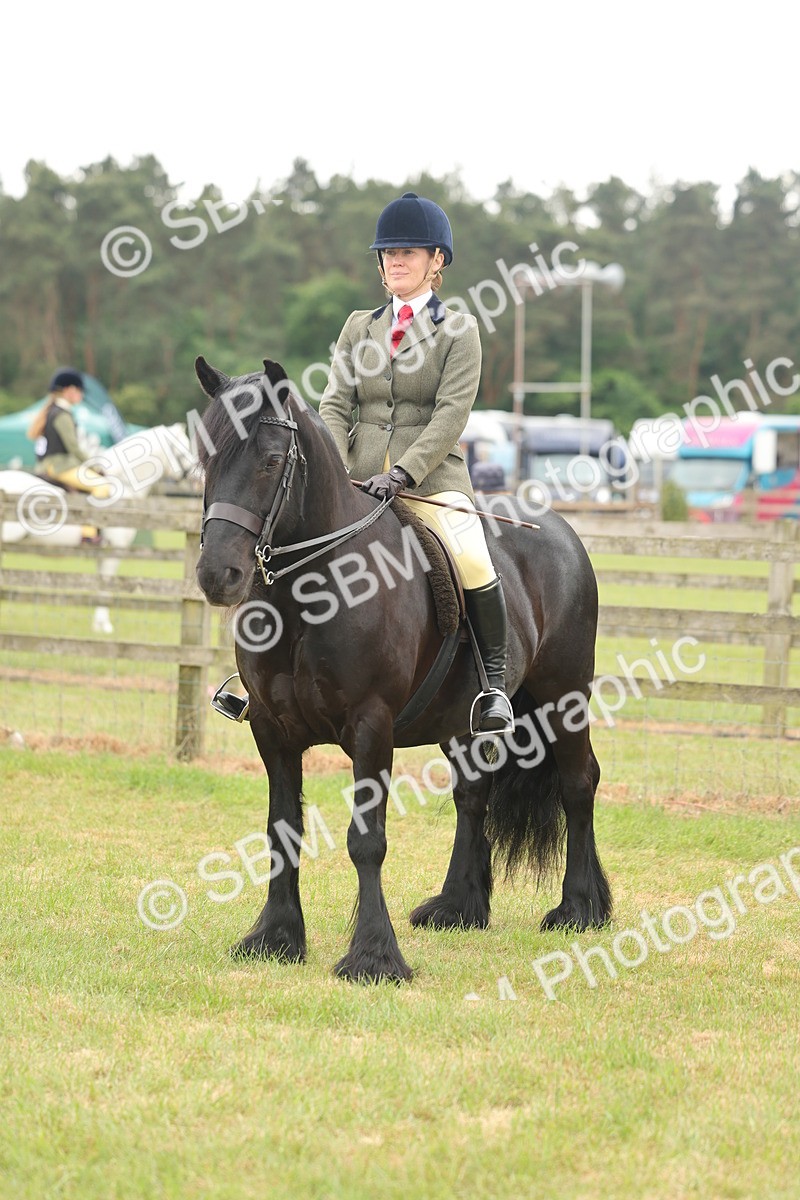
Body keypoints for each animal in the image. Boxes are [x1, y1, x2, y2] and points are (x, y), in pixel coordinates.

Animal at [0, 424, 197, 634]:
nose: (197, 478)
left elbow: (99, 584)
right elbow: (106, 587)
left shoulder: (101, 553)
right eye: (183, 448)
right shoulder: (113, 552)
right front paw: (104, 626)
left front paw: (98, 624)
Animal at [194, 357, 612, 983]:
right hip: (461, 721)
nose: (217, 575)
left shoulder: (372, 727)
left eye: (269, 460)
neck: (310, 596)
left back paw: (579, 908)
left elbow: (366, 841)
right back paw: (459, 906)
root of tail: (559, 531)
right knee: (473, 793)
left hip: (564, 698)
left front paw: (373, 956)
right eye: (207, 459)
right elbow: (281, 831)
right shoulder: (272, 730)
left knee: (578, 783)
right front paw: (276, 937)